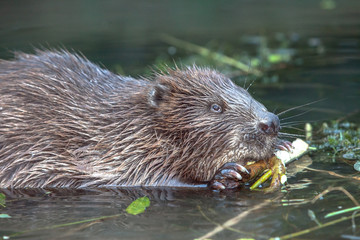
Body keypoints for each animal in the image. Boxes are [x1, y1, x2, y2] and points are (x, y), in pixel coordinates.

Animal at [0, 49, 282, 189]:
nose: (270, 122)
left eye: (245, 91)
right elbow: (145, 179)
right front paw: (224, 174)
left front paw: (282, 144)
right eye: (215, 107)